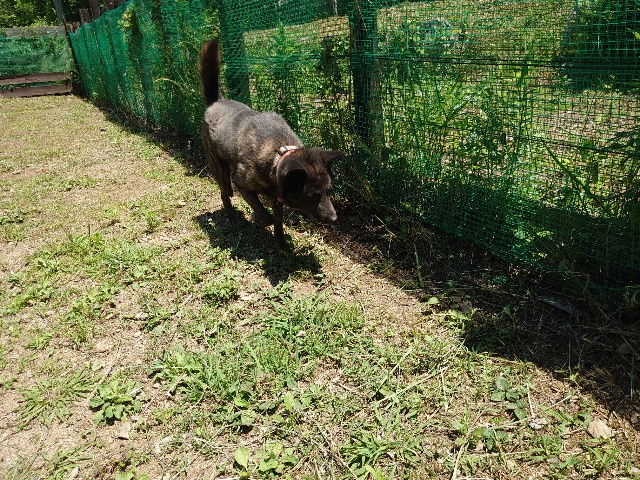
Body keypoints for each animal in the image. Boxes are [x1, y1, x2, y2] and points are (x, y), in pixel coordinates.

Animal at [198, 38, 343, 250]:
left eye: (329, 190)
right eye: (311, 195)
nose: (334, 219)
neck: (278, 154)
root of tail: (214, 102)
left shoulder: (277, 196)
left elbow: (278, 222)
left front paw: (282, 245)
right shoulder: (242, 184)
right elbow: (266, 217)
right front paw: (256, 219)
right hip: (221, 169)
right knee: (225, 193)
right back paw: (232, 216)